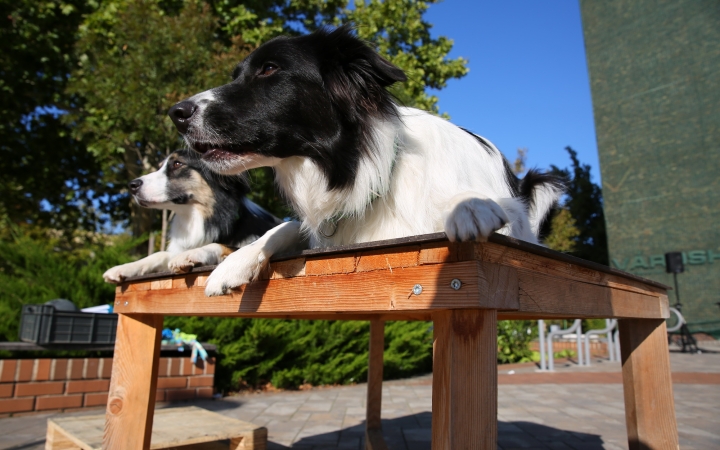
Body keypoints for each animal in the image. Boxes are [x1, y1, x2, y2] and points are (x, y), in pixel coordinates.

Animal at [102, 149, 280, 282]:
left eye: (177, 164)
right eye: (160, 167)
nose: (132, 185)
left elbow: (222, 245)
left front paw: (191, 254)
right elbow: (159, 254)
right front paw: (125, 267)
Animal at [167, 26, 564, 298]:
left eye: (268, 69)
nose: (176, 113)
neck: (366, 170)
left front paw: (470, 206)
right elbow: (284, 227)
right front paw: (235, 262)